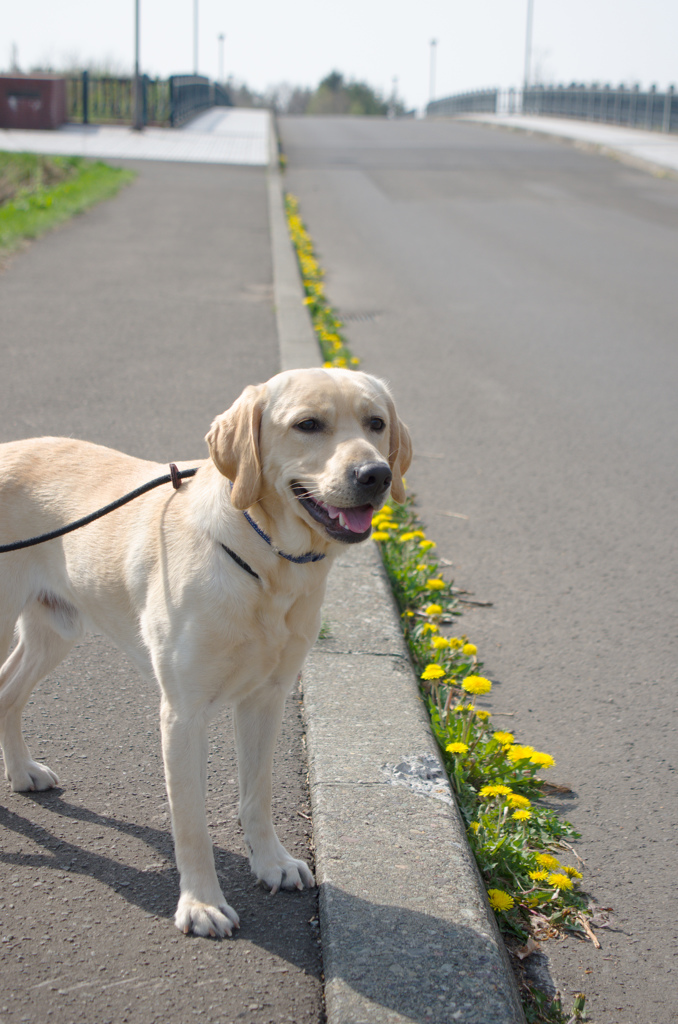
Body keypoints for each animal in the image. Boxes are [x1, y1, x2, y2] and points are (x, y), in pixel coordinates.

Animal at [0, 366, 413, 937]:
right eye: (308, 425)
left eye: (375, 423)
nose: (375, 474)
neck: (267, 565)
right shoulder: (184, 713)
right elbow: (191, 823)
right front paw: (200, 903)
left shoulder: (266, 698)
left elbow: (257, 795)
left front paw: (272, 862)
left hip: (54, 630)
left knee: (7, 693)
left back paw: (21, 772)